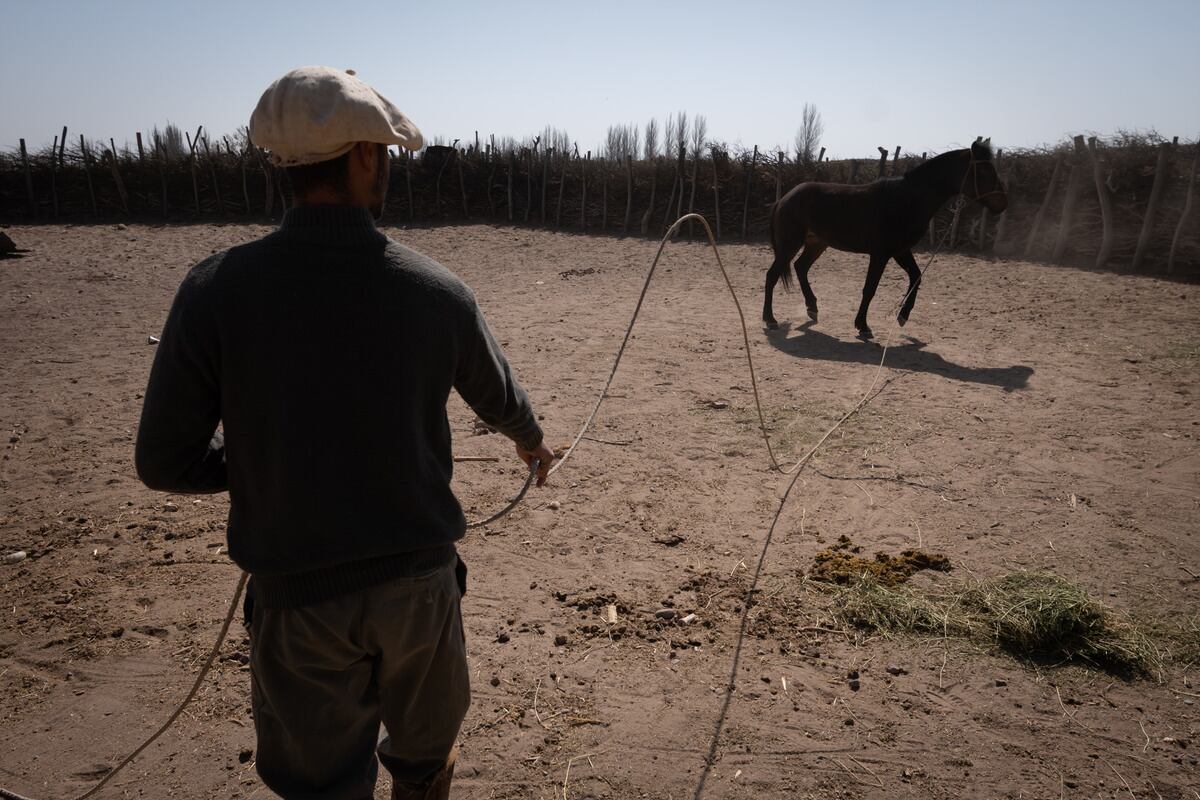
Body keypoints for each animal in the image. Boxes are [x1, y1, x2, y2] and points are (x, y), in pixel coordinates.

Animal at [763, 138, 1008, 338]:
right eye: (984, 171)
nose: (1003, 203)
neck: (906, 200)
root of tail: (785, 198)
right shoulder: (880, 254)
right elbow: (870, 288)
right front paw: (863, 326)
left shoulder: (900, 251)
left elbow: (916, 277)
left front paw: (903, 316)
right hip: (790, 244)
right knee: (772, 275)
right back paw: (770, 319)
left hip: (817, 243)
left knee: (801, 267)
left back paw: (812, 309)